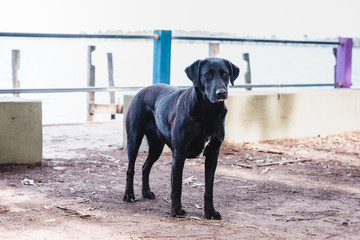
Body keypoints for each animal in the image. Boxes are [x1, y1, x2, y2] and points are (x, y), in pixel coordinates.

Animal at [124, 57, 239, 219]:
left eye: (225, 74)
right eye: (208, 75)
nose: (221, 93)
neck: (208, 112)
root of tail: (142, 90)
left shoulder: (213, 155)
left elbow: (209, 189)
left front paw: (210, 212)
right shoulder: (179, 154)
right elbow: (177, 186)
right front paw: (176, 210)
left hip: (156, 147)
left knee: (145, 166)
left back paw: (146, 192)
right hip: (134, 140)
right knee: (130, 169)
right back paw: (129, 195)